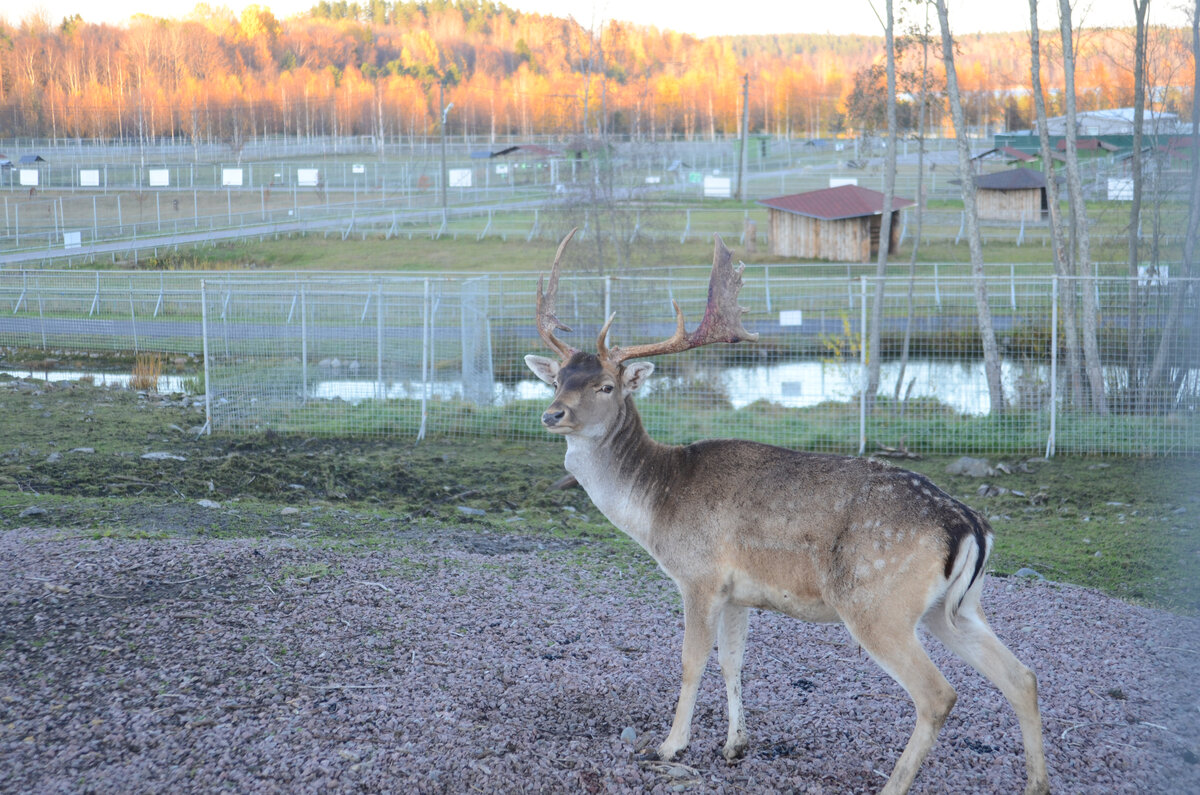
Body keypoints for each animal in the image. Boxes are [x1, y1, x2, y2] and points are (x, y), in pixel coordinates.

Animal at [525, 230, 1051, 795]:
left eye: (605, 385)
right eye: (557, 380)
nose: (552, 414)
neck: (658, 504)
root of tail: (969, 525)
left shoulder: (699, 576)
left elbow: (692, 662)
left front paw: (669, 745)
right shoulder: (738, 592)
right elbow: (732, 662)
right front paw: (735, 745)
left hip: (877, 604)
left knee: (938, 694)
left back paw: (894, 783)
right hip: (954, 608)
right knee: (1022, 676)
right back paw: (1036, 784)